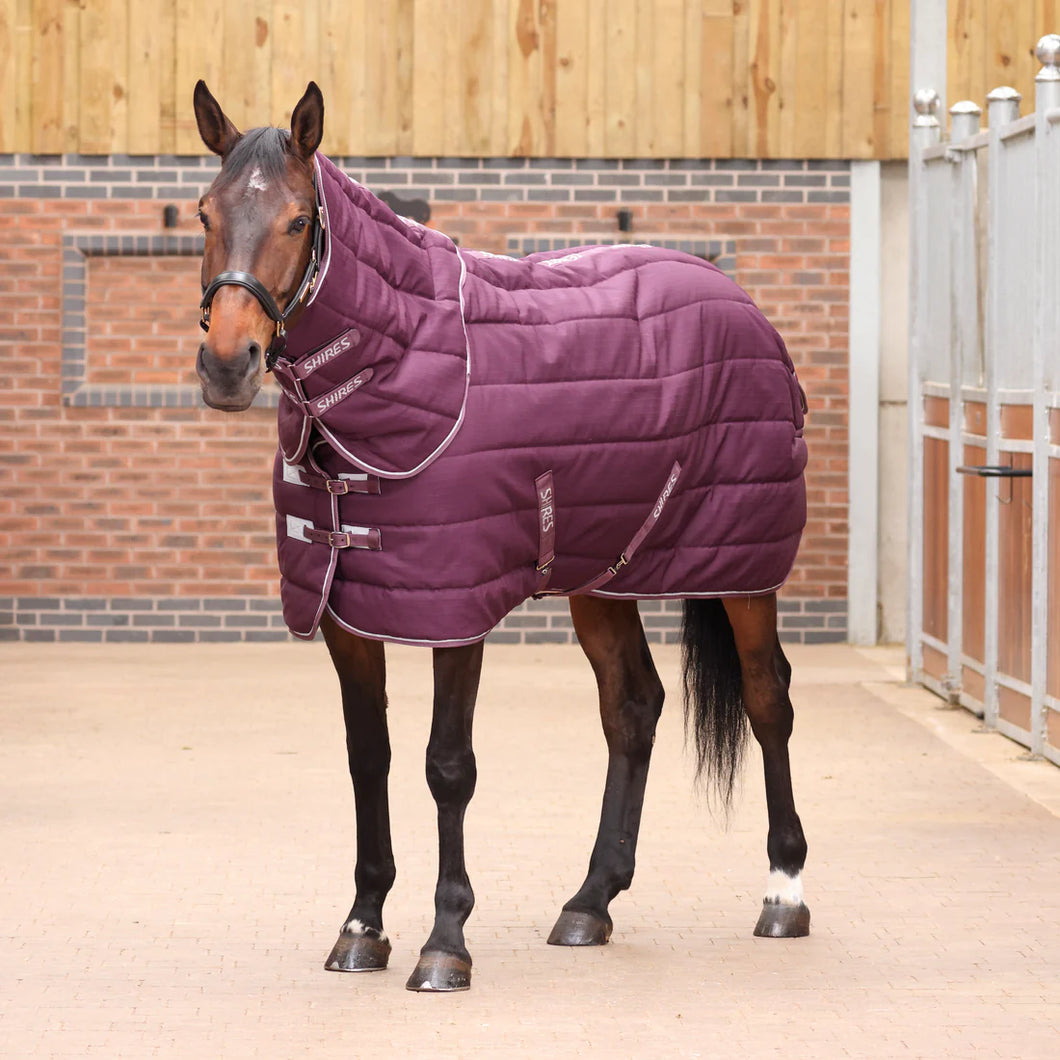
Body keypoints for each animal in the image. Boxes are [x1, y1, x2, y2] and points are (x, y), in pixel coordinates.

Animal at [190, 82, 805, 992]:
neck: (405, 360)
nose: (228, 364)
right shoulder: (347, 615)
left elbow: (448, 766)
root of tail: (742, 308)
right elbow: (367, 756)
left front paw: (445, 942)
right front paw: (362, 926)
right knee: (633, 708)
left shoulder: (457, 610)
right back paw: (590, 902)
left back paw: (784, 892)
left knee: (768, 700)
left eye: (299, 220)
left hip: (744, 573)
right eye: (204, 213)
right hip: (602, 577)